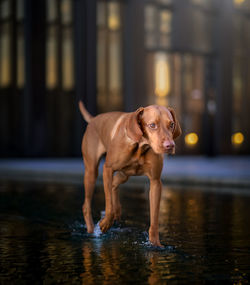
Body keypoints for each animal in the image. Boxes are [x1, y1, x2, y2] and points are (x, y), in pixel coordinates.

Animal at [79, 101, 181, 245]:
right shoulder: (107, 168)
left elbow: (154, 218)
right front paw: (105, 223)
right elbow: (108, 205)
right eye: (152, 125)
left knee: (114, 184)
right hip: (91, 172)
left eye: (171, 124)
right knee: (86, 205)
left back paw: (117, 209)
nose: (170, 146)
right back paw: (91, 230)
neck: (141, 146)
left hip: (124, 174)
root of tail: (94, 119)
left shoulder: (155, 182)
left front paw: (155, 243)